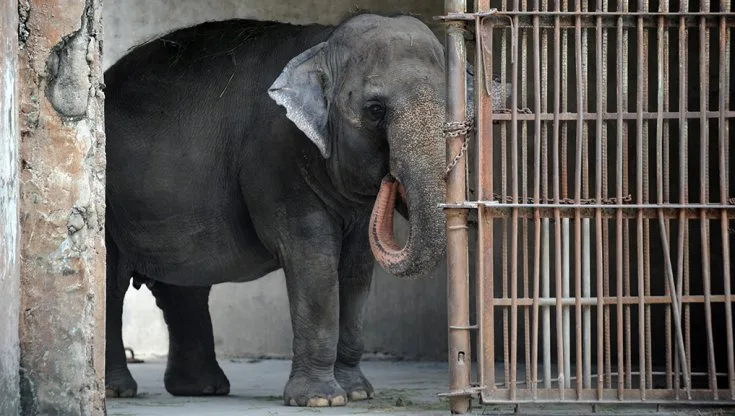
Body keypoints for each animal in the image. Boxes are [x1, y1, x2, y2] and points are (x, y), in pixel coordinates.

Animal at [102, 13, 509, 407]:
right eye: (375, 110)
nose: (391, 180)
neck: (322, 45)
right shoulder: (278, 161)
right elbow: (313, 258)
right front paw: (320, 399)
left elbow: (357, 267)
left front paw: (357, 392)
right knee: (114, 283)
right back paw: (118, 391)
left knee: (185, 288)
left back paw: (202, 390)